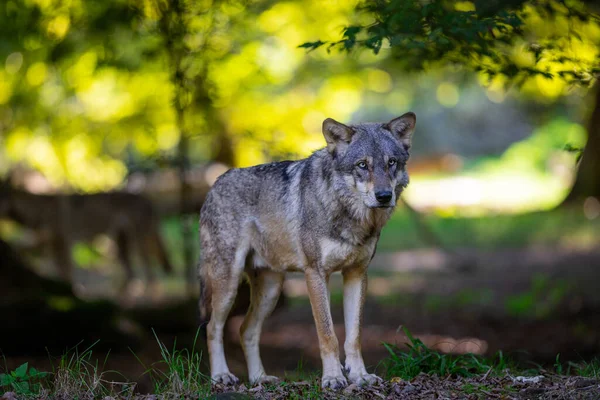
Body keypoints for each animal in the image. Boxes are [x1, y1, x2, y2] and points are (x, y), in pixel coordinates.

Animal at [0, 186, 173, 292]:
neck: (40, 208)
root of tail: (149, 200)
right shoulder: (48, 244)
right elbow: (58, 269)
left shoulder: (62, 242)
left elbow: (66, 271)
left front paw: (73, 291)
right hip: (121, 246)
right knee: (133, 276)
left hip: (139, 245)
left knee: (150, 275)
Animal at [199, 111, 414, 388]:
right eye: (362, 165)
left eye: (391, 163)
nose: (384, 196)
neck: (347, 215)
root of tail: (213, 186)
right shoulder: (315, 274)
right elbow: (328, 334)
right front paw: (333, 378)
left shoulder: (357, 274)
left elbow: (353, 336)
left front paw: (359, 376)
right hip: (229, 285)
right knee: (212, 327)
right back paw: (221, 376)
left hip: (271, 291)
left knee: (246, 330)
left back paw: (260, 378)